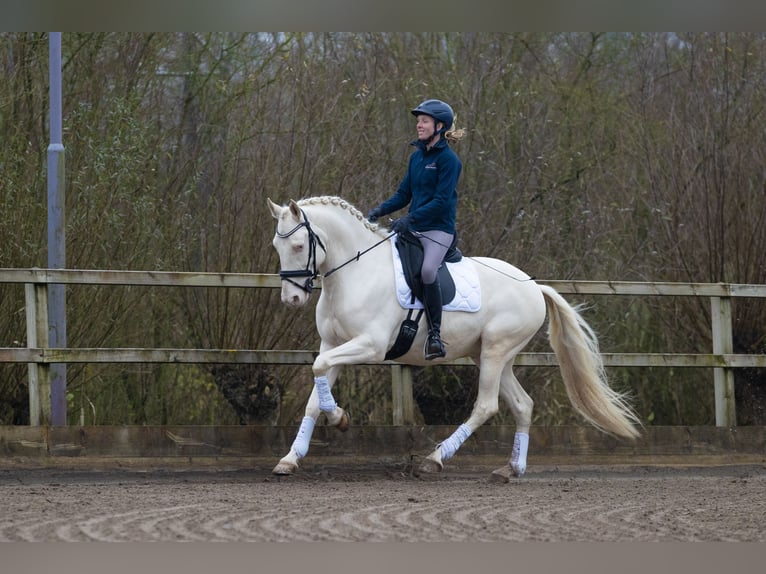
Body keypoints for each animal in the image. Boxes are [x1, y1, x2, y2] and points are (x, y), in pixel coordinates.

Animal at [268, 196, 640, 480]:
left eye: (298, 246)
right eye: (277, 246)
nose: (291, 299)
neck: (355, 272)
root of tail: (534, 287)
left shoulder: (368, 345)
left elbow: (318, 369)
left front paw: (339, 418)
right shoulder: (333, 345)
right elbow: (315, 392)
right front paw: (291, 457)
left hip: (495, 352)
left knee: (486, 406)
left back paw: (435, 459)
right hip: (493, 355)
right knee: (523, 404)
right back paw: (511, 469)